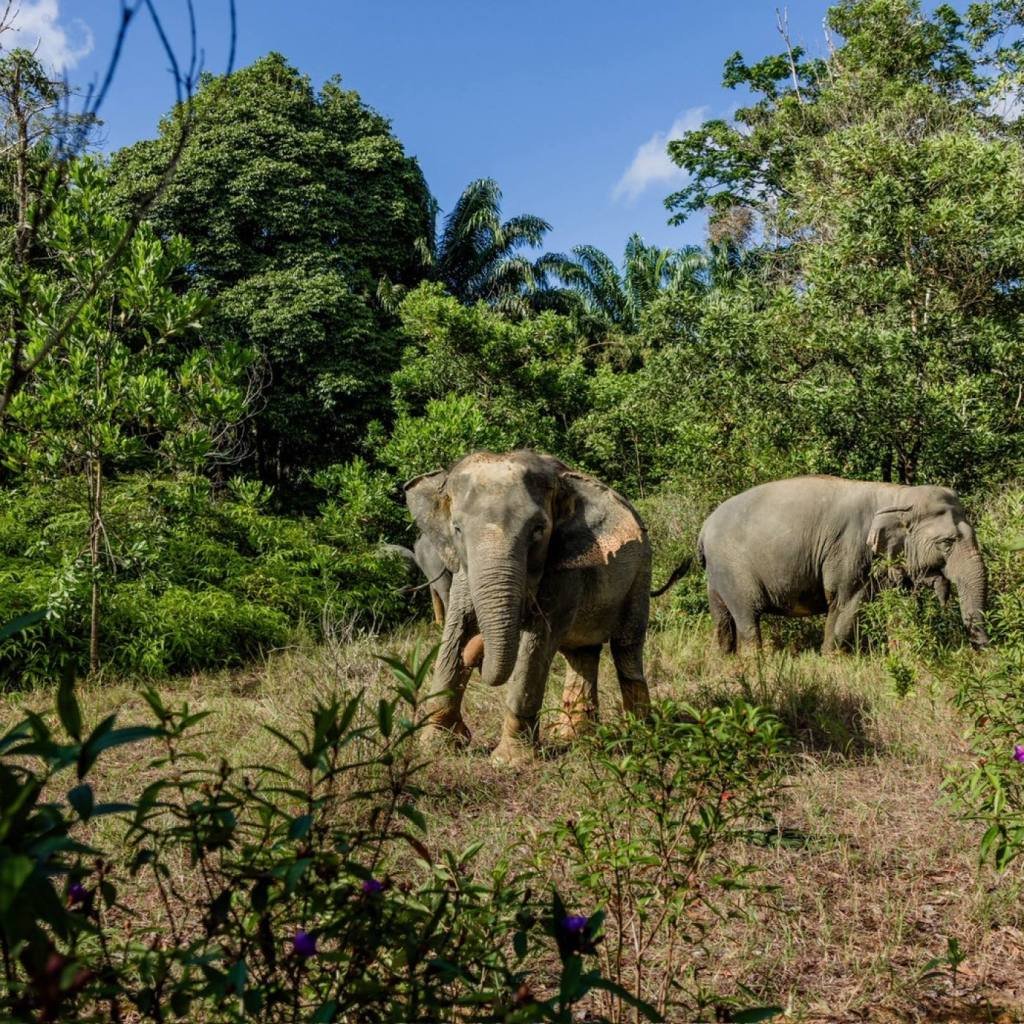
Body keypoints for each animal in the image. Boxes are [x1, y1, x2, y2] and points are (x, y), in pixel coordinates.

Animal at [405, 450, 652, 765]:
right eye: (457, 529)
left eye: (539, 530)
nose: (474, 654)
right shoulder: (463, 572)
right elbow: (456, 630)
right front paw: (436, 746)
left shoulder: (565, 569)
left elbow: (536, 644)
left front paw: (508, 760)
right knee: (581, 653)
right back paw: (573, 737)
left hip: (641, 573)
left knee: (626, 647)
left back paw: (641, 736)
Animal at [655, 476, 989, 653]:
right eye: (946, 543)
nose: (982, 650)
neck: (897, 494)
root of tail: (702, 530)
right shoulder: (849, 551)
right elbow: (844, 603)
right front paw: (832, 660)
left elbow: (899, 608)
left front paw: (904, 655)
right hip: (733, 567)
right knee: (747, 617)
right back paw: (754, 662)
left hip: (717, 575)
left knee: (721, 618)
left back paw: (726, 658)